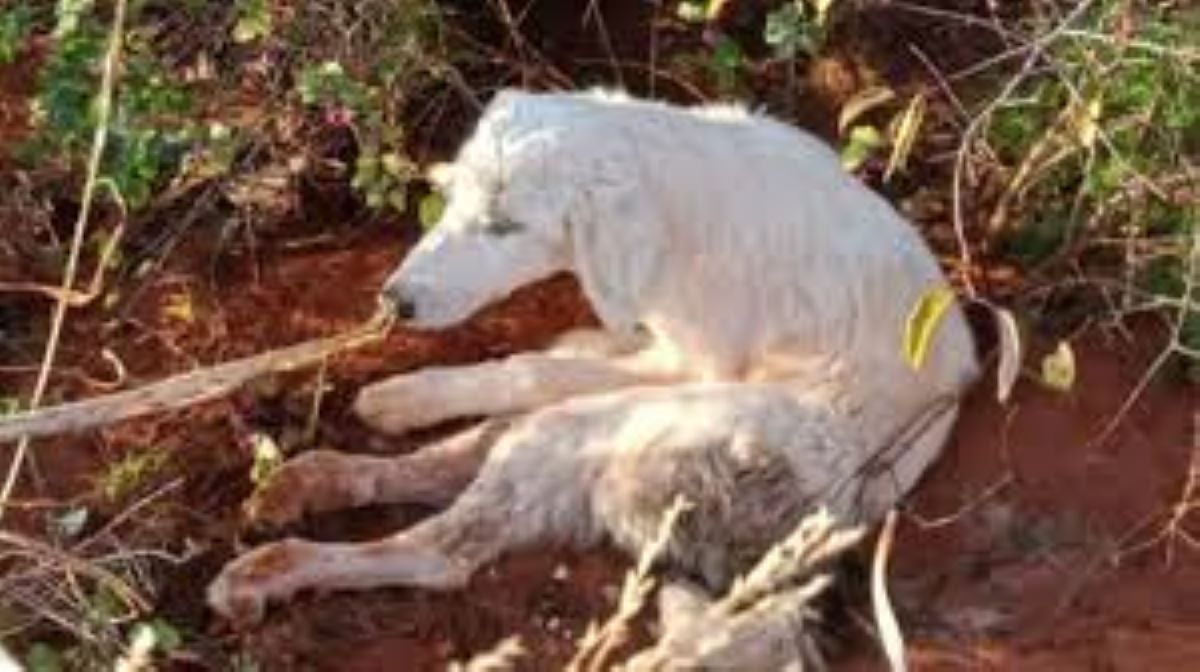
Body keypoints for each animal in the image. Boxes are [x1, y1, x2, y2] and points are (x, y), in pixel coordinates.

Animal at [208, 91, 974, 633]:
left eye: (507, 226)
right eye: (453, 201)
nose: (394, 304)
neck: (678, 206)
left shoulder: (695, 363)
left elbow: (531, 364)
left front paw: (411, 395)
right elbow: (570, 351)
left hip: (611, 427)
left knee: (443, 547)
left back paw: (268, 569)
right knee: (450, 469)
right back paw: (307, 481)